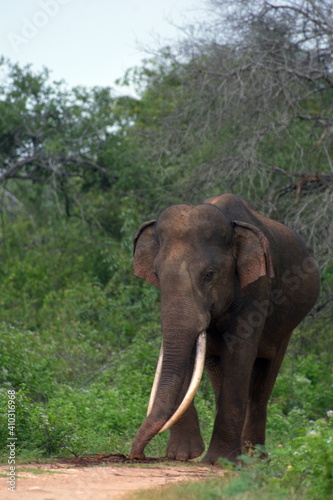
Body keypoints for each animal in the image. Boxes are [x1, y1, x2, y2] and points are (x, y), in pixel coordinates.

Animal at [130, 192, 320, 464]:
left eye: (209, 275)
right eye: (156, 273)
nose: (138, 455)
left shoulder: (257, 289)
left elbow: (239, 355)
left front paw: (218, 461)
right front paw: (183, 455)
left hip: (287, 326)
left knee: (263, 382)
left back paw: (255, 459)